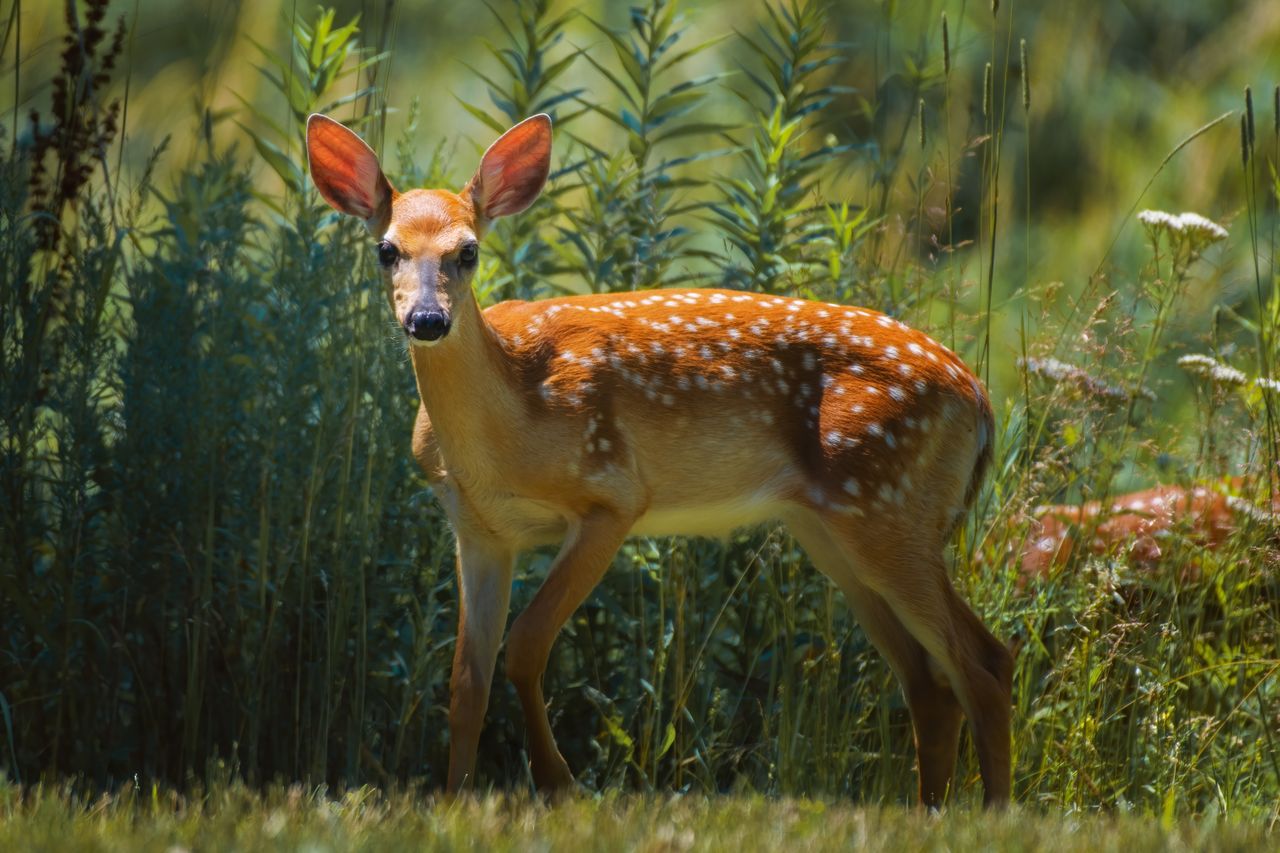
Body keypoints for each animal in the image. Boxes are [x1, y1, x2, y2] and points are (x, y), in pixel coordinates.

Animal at [305, 112, 1013, 808]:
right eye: (386, 249)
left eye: (468, 251)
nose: (427, 319)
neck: (505, 434)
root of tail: (980, 401)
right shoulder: (479, 530)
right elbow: (465, 682)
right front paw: (456, 801)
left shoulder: (613, 496)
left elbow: (525, 647)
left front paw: (559, 782)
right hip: (832, 528)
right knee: (927, 680)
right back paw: (932, 810)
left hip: (889, 508)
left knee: (984, 662)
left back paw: (992, 811)